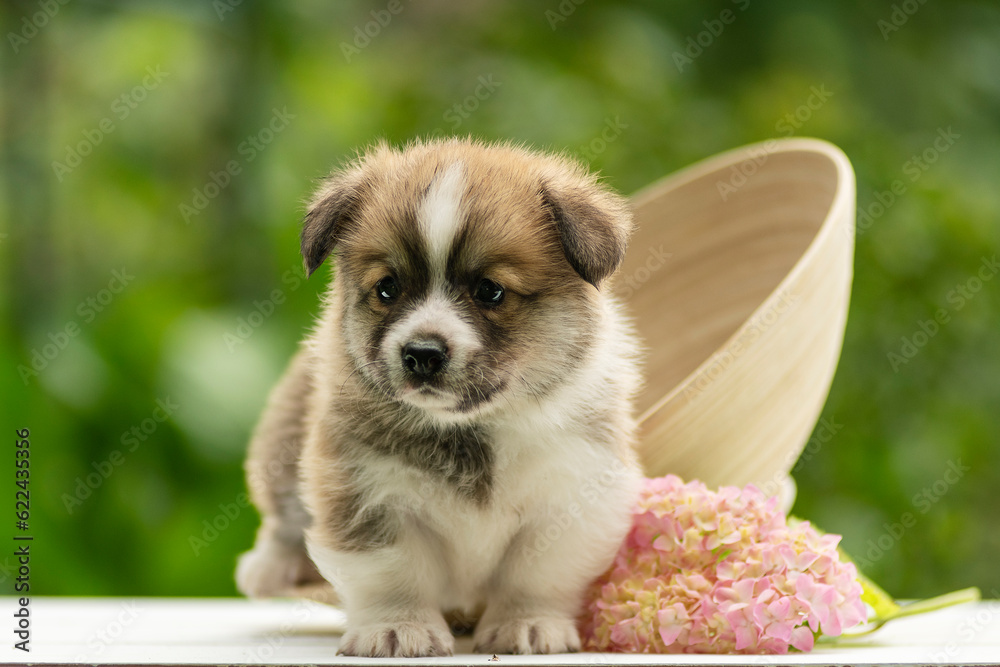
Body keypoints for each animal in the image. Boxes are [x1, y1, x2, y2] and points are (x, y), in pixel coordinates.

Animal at [236, 137, 640, 656]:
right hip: (281, 444)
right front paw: (398, 629)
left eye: (490, 291)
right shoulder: (366, 493)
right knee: (281, 518)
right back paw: (269, 567)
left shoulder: (571, 494)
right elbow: (394, 573)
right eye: (387, 288)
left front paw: (528, 624)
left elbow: (534, 575)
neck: (470, 429)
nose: (422, 354)